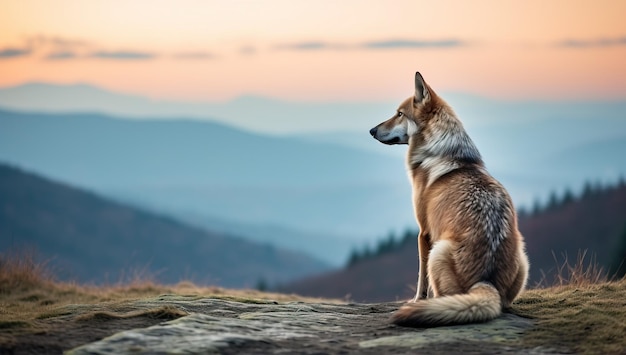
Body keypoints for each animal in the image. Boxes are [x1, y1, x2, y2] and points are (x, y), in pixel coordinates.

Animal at [368, 72, 528, 328]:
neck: (440, 151)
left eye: (399, 114)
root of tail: (486, 282)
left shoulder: (423, 233)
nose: (372, 130)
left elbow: (422, 282)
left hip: (438, 251)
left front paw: (416, 301)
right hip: (523, 258)